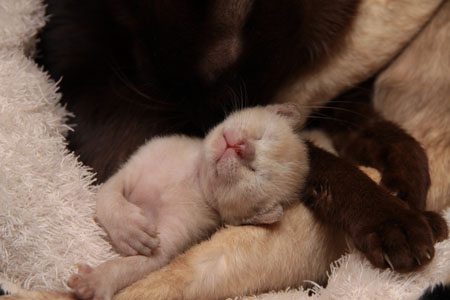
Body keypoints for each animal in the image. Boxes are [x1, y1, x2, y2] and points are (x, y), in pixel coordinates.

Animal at [67, 103, 308, 300]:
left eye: (254, 172)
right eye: (262, 137)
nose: (242, 147)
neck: (195, 173)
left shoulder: (183, 232)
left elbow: (144, 262)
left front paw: (96, 281)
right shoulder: (134, 166)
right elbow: (108, 194)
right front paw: (129, 230)